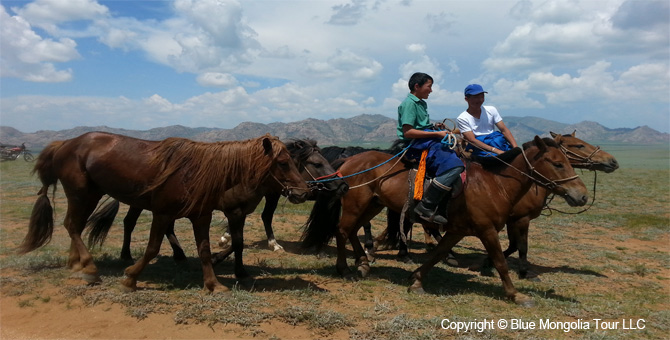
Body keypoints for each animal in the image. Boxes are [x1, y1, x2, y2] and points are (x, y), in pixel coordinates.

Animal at [18, 131, 312, 292]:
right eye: (283, 162)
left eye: (293, 161)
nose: (302, 192)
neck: (202, 171)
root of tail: (65, 143)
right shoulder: (164, 214)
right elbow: (152, 249)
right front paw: (130, 279)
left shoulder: (202, 216)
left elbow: (205, 250)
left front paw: (214, 284)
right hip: (82, 194)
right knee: (72, 226)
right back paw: (89, 267)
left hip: (89, 195)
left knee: (76, 226)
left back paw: (76, 264)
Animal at [86, 138, 350, 260]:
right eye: (317, 163)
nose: (342, 185)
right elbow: (263, 217)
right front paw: (272, 243)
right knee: (129, 222)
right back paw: (127, 255)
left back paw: (179, 255)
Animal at [304, 135, 588, 306]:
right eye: (557, 163)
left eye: (566, 160)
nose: (582, 195)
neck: (494, 184)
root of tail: (349, 159)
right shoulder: (487, 230)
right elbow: (500, 262)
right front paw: (515, 294)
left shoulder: (458, 230)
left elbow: (438, 253)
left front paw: (417, 280)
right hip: (356, 204)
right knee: (342, 230)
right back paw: (345, 269)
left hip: (373, 204)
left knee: (352, 231)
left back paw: (363, 263)